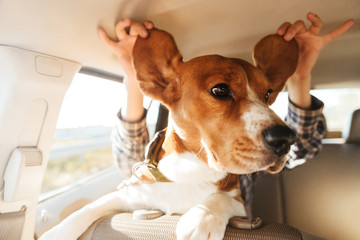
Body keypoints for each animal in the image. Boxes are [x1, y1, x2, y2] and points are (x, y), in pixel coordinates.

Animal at [39, 28, 298, 240]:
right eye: (220, 90)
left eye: (267, 94)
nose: (286, 138)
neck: (191, 173)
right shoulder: (131, 195)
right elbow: (88, 208)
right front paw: (57, 233)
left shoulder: (242, 206)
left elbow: (220, 198)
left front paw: (202, 217)